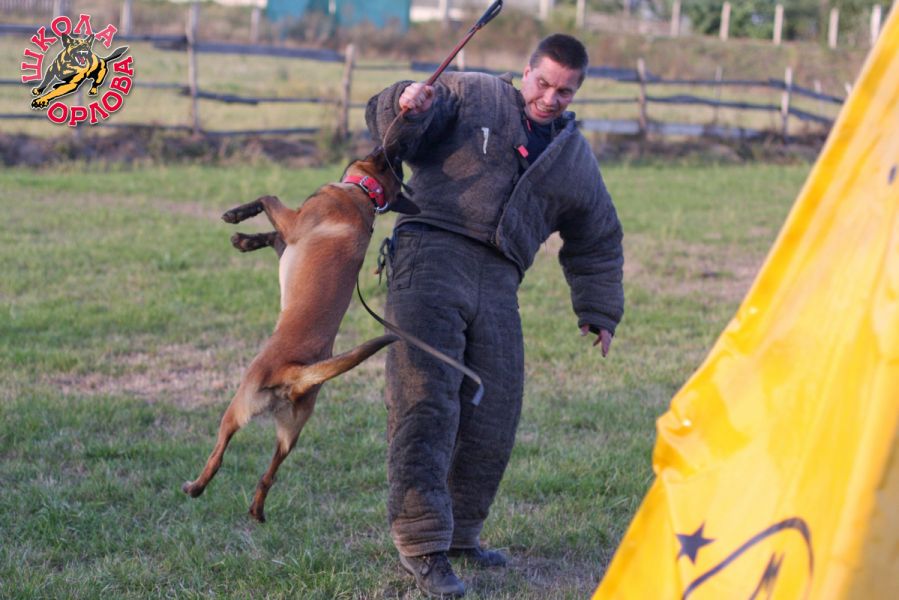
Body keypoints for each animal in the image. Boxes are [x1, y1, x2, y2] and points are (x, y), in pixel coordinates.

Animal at [182, 147, 417, 522]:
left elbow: (268, 197)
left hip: (237, 407)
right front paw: (244, 240)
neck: (364, 194)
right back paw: (257, 511)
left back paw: (195, 487)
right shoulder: (288, 239)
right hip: (290, 436)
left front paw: (235, 217)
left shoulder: (293, 223)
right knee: (268, 475)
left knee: (218, 455)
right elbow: (271, 235)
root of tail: (298, 375)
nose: (390, 147)